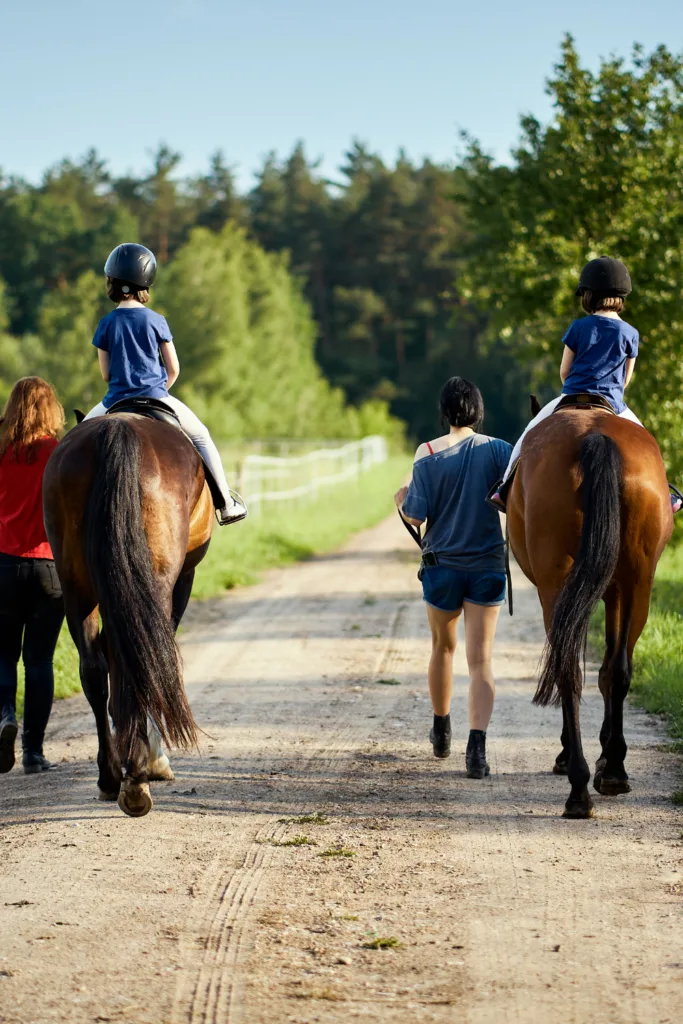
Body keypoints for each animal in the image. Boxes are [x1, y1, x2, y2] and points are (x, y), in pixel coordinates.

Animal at [43, 411, 213, 817]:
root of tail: (117, 429)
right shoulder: (181, 581)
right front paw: (153, 758)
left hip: (76, 587)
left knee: (94, 669)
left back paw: (109, 775)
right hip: (157, 582)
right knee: (140, 661)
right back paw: (136, 776)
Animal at [508, 400, 672, 818]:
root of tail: (595, 436)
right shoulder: (615, 591)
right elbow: (610, 669)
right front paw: (607, 757)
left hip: (561, 585)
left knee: (570, 669)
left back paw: (580, 782)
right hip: (637, 582)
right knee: (616, 669)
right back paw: (608, 773)